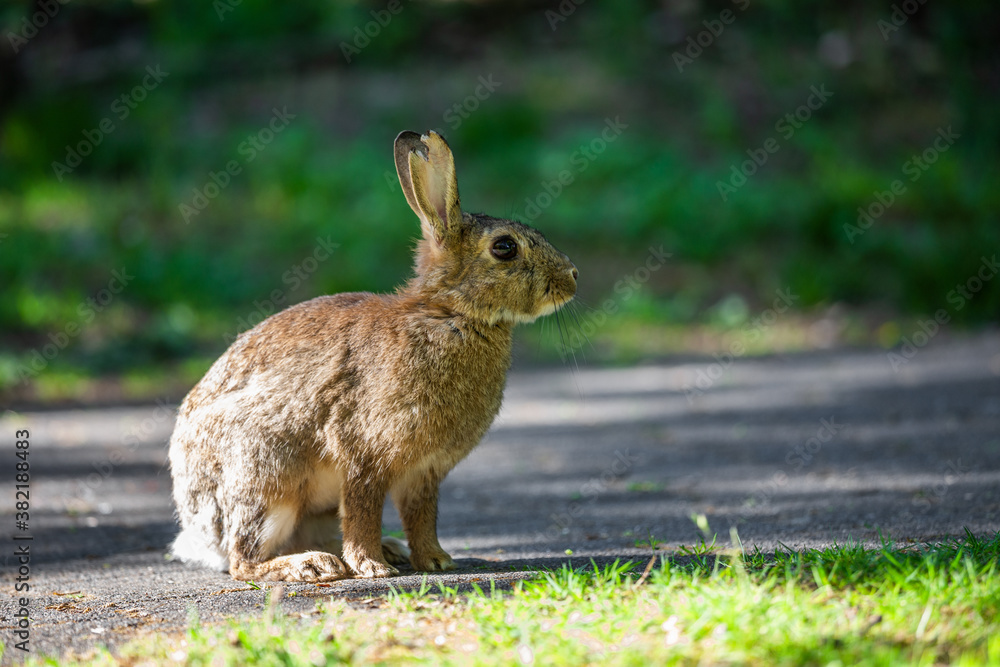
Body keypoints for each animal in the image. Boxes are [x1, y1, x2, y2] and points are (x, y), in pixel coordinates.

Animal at [168, 130, 578, 582]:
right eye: (504, 247)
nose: (572, 278)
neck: (448, 314)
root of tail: (198, 534)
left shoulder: (425, 472)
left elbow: (422, 516)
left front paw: (435, 560)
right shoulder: (362, 454)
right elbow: (364, 510)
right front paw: (371, 569)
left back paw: (382, 550)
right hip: (264, 473)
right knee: (244, 560)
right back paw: (315, 566)